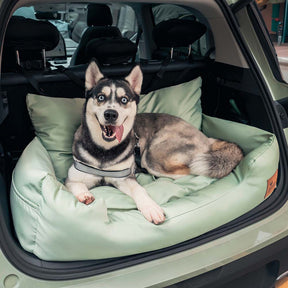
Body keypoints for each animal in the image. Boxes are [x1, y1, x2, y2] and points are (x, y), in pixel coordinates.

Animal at [65, 62, 243, 225]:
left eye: (124, 99)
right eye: (101, 97)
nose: (111, 114)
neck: (104, 151)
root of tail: (206, 138)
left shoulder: (126, 178)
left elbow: (140, 191)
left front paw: (151, 208)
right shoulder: (72, 178)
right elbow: (77, 185)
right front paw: (85, 195)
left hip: (151, 156)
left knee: (191, 172)